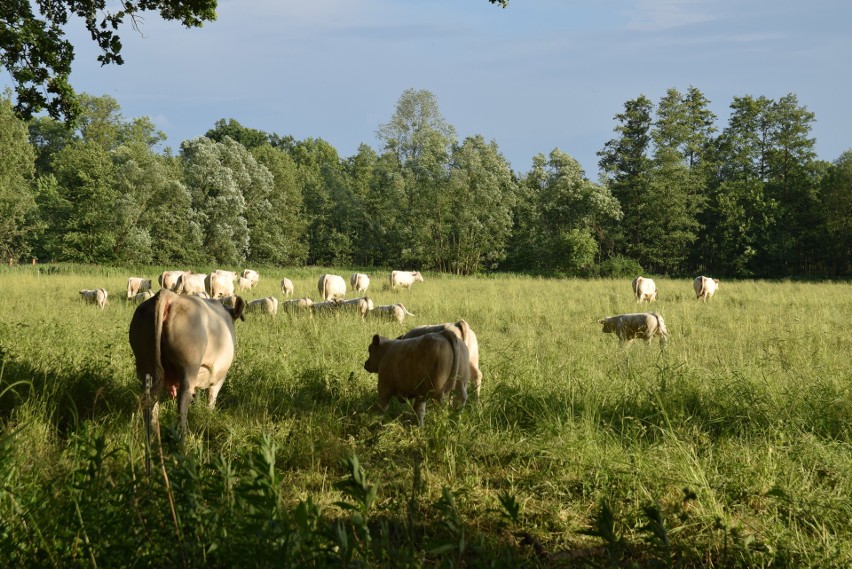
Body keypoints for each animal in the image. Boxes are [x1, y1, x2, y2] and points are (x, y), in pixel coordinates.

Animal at [128, 290, 245, 432]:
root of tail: (170, 295)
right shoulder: (219, 374)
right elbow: (212, 397)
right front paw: (209, 415)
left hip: (145, 365)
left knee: (151, 400)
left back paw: (153, 430)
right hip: (189, 366)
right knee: (183, 398)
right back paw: (182, 432)